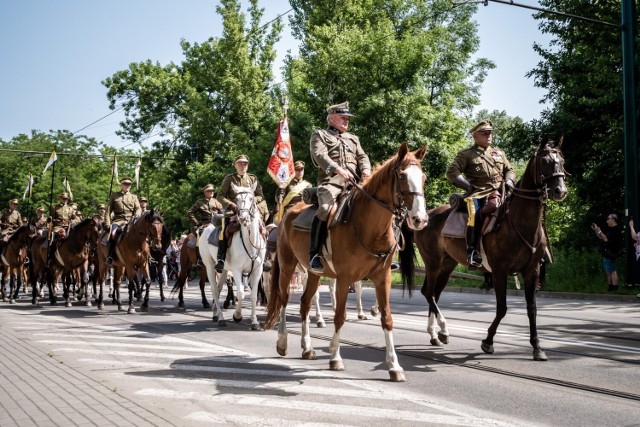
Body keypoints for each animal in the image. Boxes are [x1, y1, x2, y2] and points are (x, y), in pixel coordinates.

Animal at [200, 184, 264, 332]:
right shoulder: (237, 270)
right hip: (209, 266)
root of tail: (207, 227)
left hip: (224, 269)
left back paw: (215, 314)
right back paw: (222, 319)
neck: (250, 242)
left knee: (218, 289)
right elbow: (240, 293)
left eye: (251, 198)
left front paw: (254, 322)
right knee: (214, 290)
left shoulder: (257, 270)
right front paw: (237, 316)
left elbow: (253, 296)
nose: (244, 218)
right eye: (237, 199)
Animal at [264, 142, 430, 382]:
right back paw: (283, 342)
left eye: (423, 177)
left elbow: (387, 318)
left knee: (305, 303)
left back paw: (307, 347)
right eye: (401, 175)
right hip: (287, 266)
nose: (419, 219)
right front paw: (335, 357)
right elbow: (340, 316)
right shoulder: (344, 278)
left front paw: (394, 366)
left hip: (313, 273)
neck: (368, 226)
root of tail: (287, 214)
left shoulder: (383, 278)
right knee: (284, 299)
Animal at [416, 136, 568, 362]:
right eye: (544, 161)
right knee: (428, 293)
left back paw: (435, 335)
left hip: (447, 265)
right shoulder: (499, 272)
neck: (519, 222)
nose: (560, 191)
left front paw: (537, 347)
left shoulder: (532, 271)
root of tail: (428, 214)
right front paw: (487, 341)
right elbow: (502, 308)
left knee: (434, 293)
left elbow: (532, 309)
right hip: (433, 263)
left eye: (562, 160)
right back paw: (443, 330)